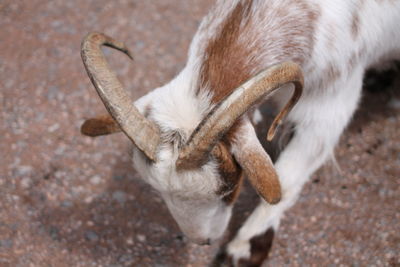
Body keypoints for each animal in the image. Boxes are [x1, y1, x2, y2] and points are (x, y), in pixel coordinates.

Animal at [80, 0, 400, 266]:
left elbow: (287, 178)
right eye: (157, 191)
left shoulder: (331, 105)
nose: (203, 241)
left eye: (228, 190)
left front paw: (243, 250)